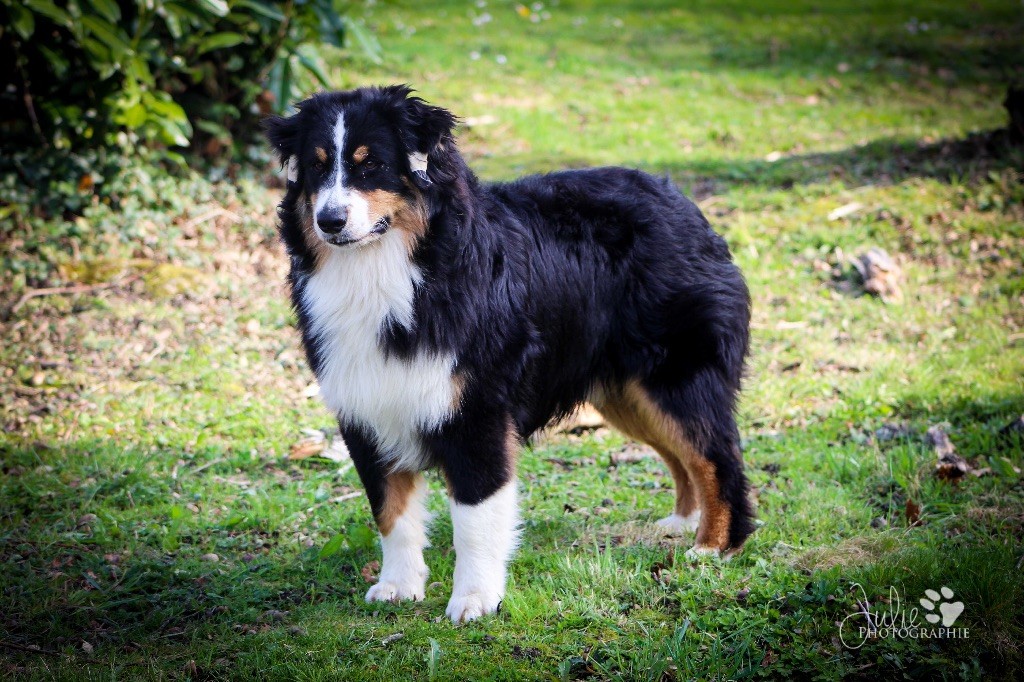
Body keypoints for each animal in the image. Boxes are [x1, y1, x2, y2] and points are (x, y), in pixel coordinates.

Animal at [264, 85, 754, 623]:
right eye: (316, 167)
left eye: (369, 165)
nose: (329, 221)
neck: (395, 269)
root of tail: (682, 201)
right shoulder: (368, 408)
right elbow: (391, 512)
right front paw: (398, 585)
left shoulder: (476, 411)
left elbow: (475, 518)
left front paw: (475, 598)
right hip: (626, 391)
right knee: (682, 456)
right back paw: (683, 523)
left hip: (674, 378)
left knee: (717, 457)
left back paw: (714, 546)